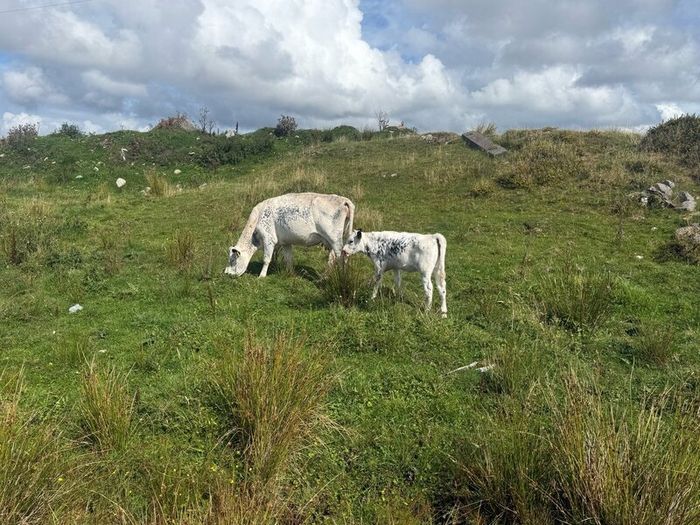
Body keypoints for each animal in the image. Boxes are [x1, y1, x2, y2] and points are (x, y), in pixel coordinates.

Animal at [225, 193, 355, 277]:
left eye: (232, 260)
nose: (226, 273)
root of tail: (343, 199)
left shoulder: (268, 239)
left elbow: (266, 259)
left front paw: (261, 276)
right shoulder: (285, 242)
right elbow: (288, 259)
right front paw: (290, 273)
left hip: (335, 239)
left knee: (341, 257)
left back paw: (341, 276)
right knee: (332, 258)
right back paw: (325, 276)